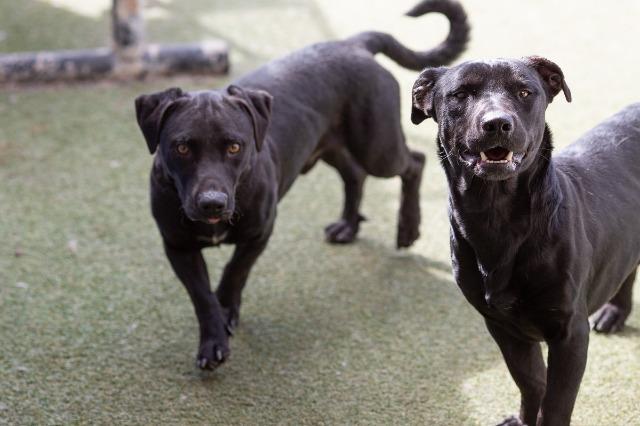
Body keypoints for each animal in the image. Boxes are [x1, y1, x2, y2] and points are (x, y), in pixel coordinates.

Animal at [135, 0, 468, 370]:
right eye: (181, 147)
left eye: (234, 147)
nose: (212, 203)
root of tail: (353, 43)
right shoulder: (177, 247)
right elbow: (201, 296)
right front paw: (213, 338)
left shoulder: (259, 232)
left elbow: (235, 271)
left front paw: (226, 308)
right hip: (332, 146)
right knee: (355, 175)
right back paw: (348, 226)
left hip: (377, 147)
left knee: (414, 162)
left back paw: (408, 228)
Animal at [412, 57, 636, 426]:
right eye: (460, 93)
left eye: (524, 92)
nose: (497, 123)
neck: (499, 220)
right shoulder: (502, 327)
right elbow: (531, 382)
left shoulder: (570, 334)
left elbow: (557, 404)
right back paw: (616, 312)